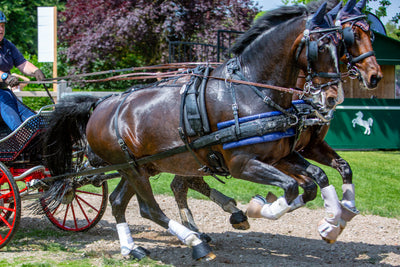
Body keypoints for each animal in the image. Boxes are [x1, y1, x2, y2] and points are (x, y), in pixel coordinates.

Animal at [45, 2, 342, 262]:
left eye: (341, 43)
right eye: (322, 45)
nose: (332, 97)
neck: (249, 91)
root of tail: (100, 104)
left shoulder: (281, 157)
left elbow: (312, 183)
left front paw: (330, 223)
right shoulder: (242, 164)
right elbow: (292, 186)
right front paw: (258, 208)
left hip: (139, 166)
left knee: (119, 201)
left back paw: (131, 249)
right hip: (132, 168)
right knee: (149, 208)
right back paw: (194, 242)